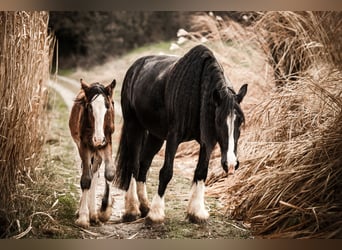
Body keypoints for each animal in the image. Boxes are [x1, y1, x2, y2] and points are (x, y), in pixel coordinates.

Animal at [115, 44, 246, 223]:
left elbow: (201, 172)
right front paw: (156, 214)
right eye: (219, 121)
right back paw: (132, 210)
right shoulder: (173, 137)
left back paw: (145, 207)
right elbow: (166, 172)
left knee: (143, 164)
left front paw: (196, 212)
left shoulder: (207, 141)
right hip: (133, 125)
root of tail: (135, 67)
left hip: (156, 136)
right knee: (134, 166)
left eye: (240, 121)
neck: (197, 93)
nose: (231, 164)